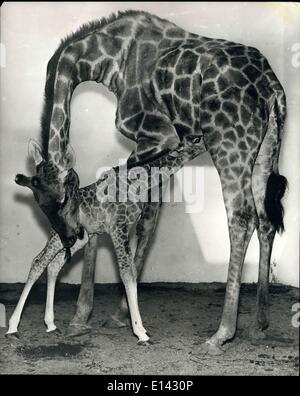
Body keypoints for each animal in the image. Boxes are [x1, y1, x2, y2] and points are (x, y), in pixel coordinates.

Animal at [7, 135, 205, 344]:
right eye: (196, 140)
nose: (206, 141)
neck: (140, 183)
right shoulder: (118, 228)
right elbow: (127, 274)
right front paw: (140, 332)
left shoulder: (126, 229)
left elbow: (132, 271)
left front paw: (138, 328)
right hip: (58, 237)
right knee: (38, 262)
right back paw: (12, 327)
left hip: (77, 239)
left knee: (53, 265)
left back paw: (51, 324)